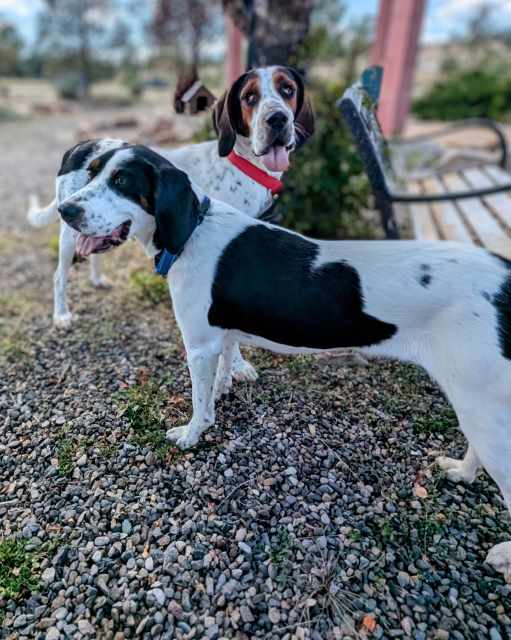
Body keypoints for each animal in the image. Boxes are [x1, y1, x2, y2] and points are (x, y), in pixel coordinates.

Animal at [56, 144, 511, 580]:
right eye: (90, 171)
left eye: (122, 181)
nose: (66, 211)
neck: (196, 227)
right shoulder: (220, 337)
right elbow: (223, 372)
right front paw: (224, 389)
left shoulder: (199, 345)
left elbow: (201, 406)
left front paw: (191, 435)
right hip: (476, 401)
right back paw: (462, 473)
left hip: (483, 406)